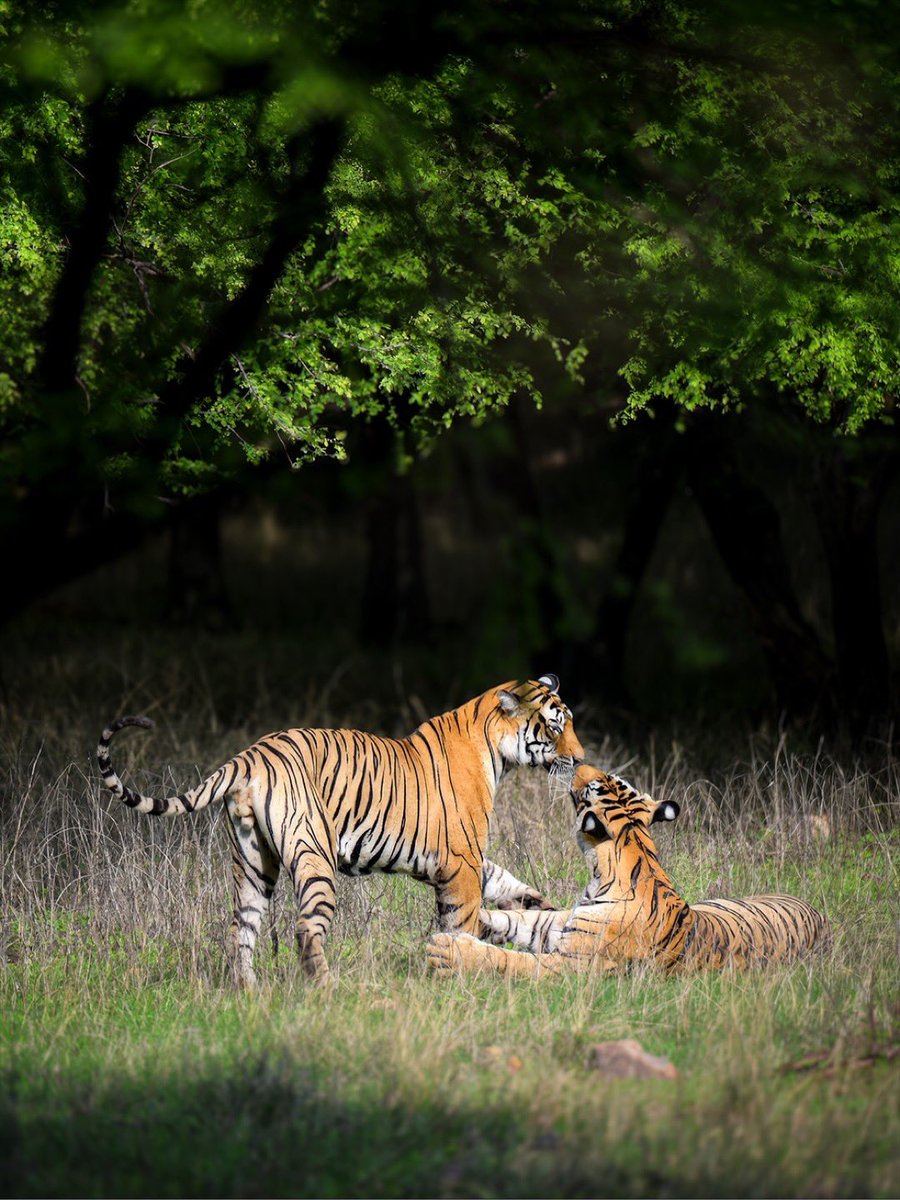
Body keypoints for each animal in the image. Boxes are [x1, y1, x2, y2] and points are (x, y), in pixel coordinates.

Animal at [96, 675, 583, 984]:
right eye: (554, 726)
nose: (580, 759)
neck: (496, 750)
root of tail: (249, 755)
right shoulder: (460, 862)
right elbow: (458, 922)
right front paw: (454, 975)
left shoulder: (468, 859)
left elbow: (509, 885)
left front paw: (543, 910)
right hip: (314, 854)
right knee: (305, 928)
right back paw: (325, 990)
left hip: (252, 862)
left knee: (240, 930)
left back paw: (248, 995)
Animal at [427, 763, 827, 978]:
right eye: (611, 779)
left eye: (591, 785)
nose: (579, 763)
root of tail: (820, 917)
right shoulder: (565, 922)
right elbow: (522, 919)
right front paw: (473, 917)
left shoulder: (573, 965)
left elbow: (515, 960)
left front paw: (449, 952)